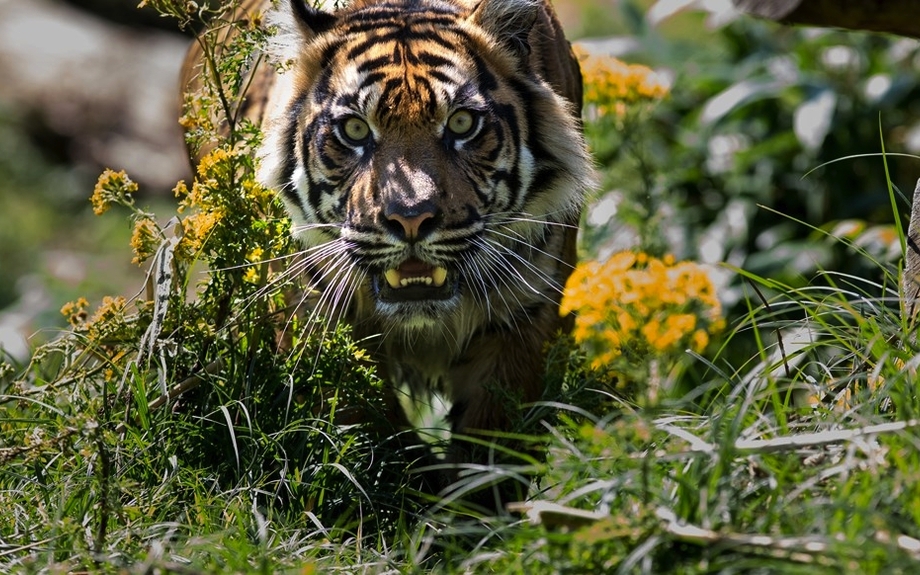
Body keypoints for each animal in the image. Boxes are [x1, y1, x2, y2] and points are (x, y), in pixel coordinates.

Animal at [181, 0, 593, 510]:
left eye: (462, 123)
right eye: (355, 129)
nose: (411, 218)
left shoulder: (524, 318)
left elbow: (491, 449)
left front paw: (474, 519)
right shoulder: (315, 320)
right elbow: (370, 433)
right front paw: (404, 502)